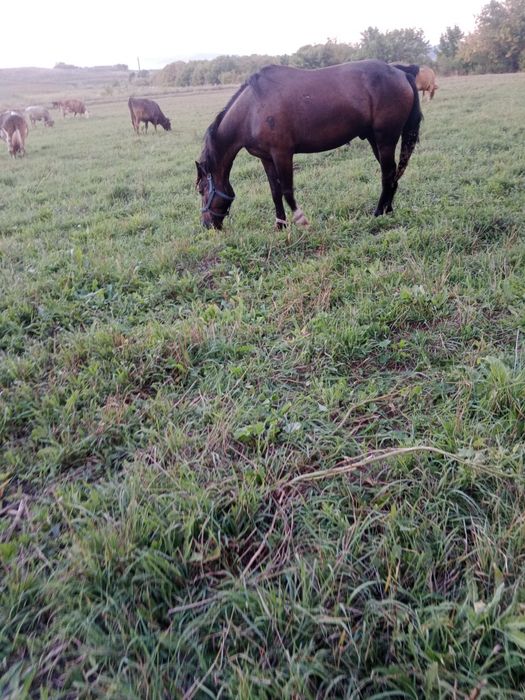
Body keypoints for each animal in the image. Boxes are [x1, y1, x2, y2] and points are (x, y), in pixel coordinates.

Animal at [196, 59, 422, 230]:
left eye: (201, 190)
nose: (207, 225)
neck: (252, 109)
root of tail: (401, 72)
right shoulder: (266, 158)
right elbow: (275, 193)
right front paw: (280, 226)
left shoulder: (282, 154)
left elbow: (287, 191)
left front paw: (301, 221)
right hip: (376, 140)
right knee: (392, 174)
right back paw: (387, 210)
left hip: (385, 139)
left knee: (387, 174)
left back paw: (378, 213)